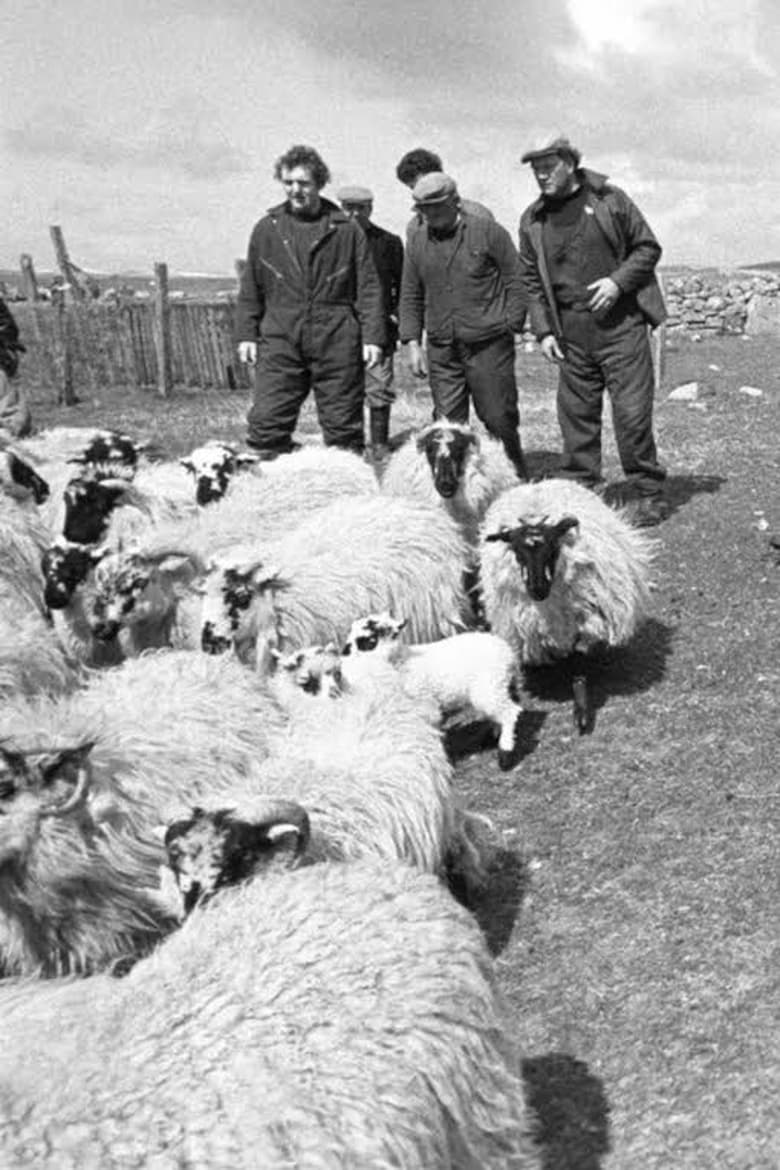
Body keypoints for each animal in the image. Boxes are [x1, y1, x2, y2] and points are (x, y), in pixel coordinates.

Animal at [341, 613, 523, 767]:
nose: (344, 652)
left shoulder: (424, 706)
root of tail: (506, 650)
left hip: (489, 687)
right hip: (496, 687)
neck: (399, 663)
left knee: (511, 712)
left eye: (369, 639)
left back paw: (505, 754)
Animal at [479, 475, 654, 730]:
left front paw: (581, 713)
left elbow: (579, 665)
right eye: (517, 553)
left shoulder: (587, 619)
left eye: (552, 549)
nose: (537, 589)